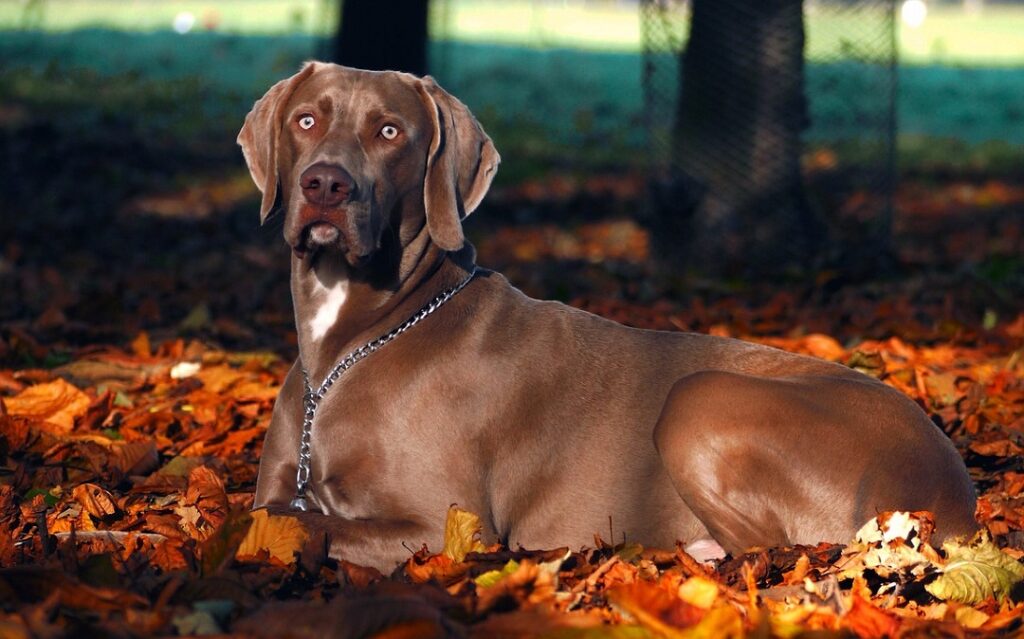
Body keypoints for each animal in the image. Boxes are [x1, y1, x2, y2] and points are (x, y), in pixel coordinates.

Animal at [235, 61, 978, 569]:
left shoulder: (444, 524)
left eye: (389, 131)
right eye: (306, 121)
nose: (325, 184)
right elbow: (268, 509)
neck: (354, 343)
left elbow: (291, 523)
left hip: (699, 399)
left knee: (772, 551)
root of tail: (957, 496)